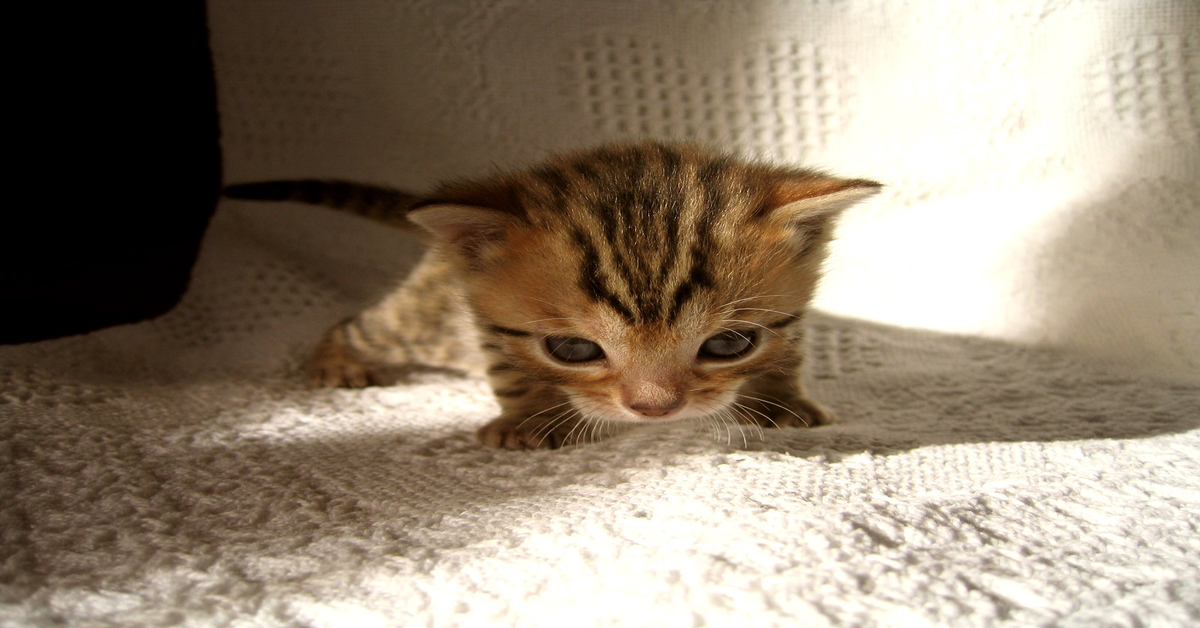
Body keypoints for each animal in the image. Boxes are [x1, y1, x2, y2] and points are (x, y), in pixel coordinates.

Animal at [225, 142, 883, 449]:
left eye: (729, 344)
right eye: (572, 350)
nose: (655, 410)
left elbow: (789, 351)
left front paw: (781, 399)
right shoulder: (487, 324)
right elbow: (513, 373)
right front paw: (530, 420)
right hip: (424, 321)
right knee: (360, 324)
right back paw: (335, 360)